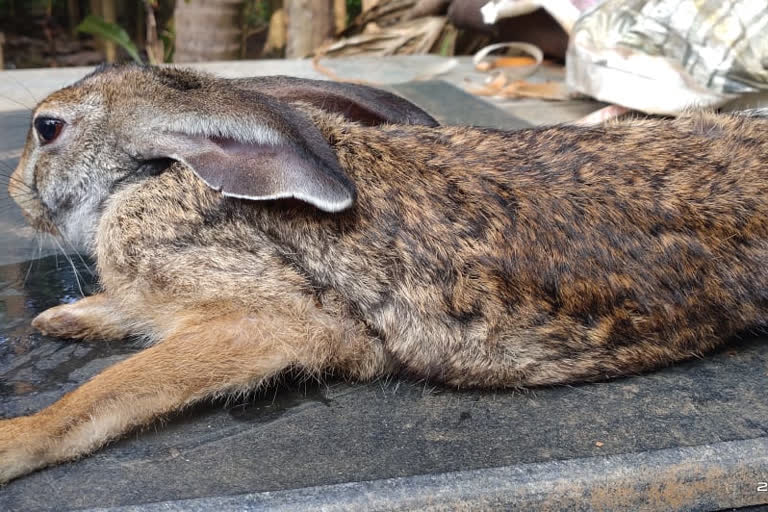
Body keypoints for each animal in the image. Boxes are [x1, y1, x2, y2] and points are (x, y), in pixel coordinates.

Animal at [1, 62, 768, 482]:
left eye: (47, 128)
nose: (13, 190)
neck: (154, 173)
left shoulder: (277, 319)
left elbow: (106, 394)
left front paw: (16, 442)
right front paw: (67, 319)